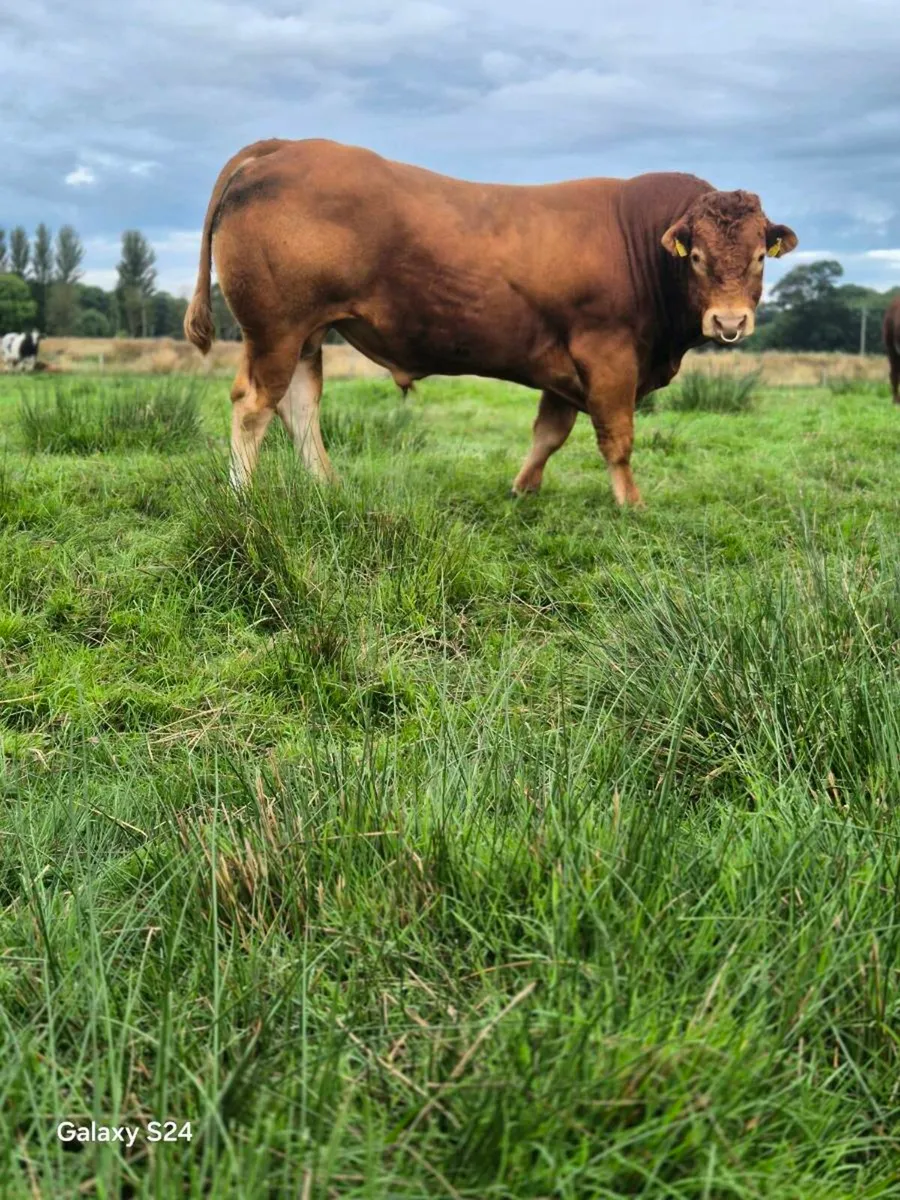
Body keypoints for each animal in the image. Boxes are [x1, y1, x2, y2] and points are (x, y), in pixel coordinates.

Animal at [184, 139, 798, 505]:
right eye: (696, 257)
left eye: (758, 257)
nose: (729, 321)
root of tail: (285, 147)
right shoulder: (608, 355)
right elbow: (617, 438)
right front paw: (632, 505)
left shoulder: (565, 364)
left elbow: (549, 432)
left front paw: (523, 489)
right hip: (276, 329)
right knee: (254, 406)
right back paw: (242, 498)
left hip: (306, 334)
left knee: (300, 407)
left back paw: (329, 487)